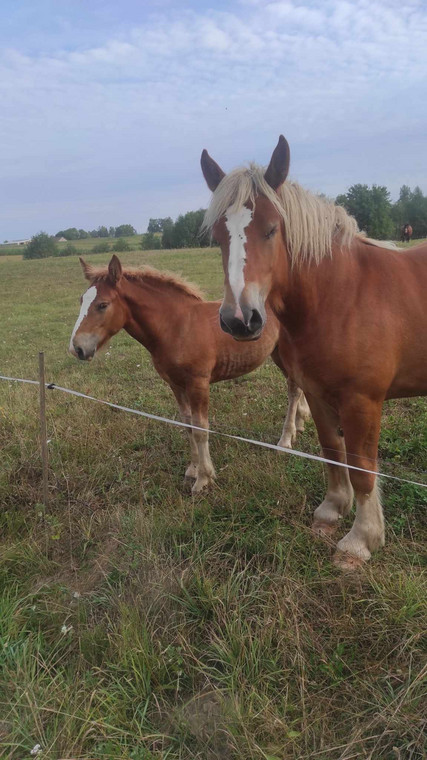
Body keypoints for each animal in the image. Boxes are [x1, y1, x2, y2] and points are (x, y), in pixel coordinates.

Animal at [69, 255, 310, 492]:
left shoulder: (198, 383)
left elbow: (200, 428)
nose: (76, 348)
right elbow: (187, 426)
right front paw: (193, 470)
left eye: (103, 304)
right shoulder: (175, 384)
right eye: (81, 300)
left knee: (293, 390)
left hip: (282, 352)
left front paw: (204, 478)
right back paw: (300, 423)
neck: (177, 327)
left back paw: (285, 440)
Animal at [201, 137, 427, 568]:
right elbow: (331, 451)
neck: (342, 294)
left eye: (272, 229)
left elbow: (362, 467)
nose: (239, 320)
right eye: (218, 237)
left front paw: (361, 540)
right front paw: (332, 510)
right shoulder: (319, 394)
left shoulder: (362, 402)